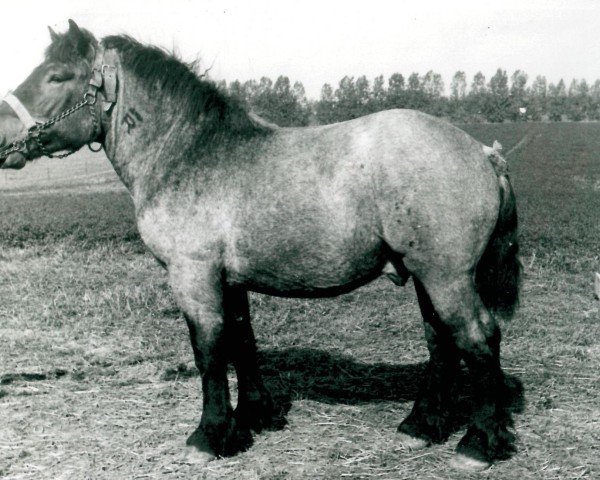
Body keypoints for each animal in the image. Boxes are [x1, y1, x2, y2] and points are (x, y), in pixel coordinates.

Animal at [0, 20, 520, 470]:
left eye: (57, 76)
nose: (2, 136)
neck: (190, 154)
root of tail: (483, 152)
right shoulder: (231, 280)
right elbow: (241, 340)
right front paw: (252, 417)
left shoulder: (193, 276)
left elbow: (210, 350)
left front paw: (209, 435)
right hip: (425, 275)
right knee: (442, 341)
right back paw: (422, 425)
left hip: (446, 276)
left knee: (478, 338)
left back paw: (478, 442)